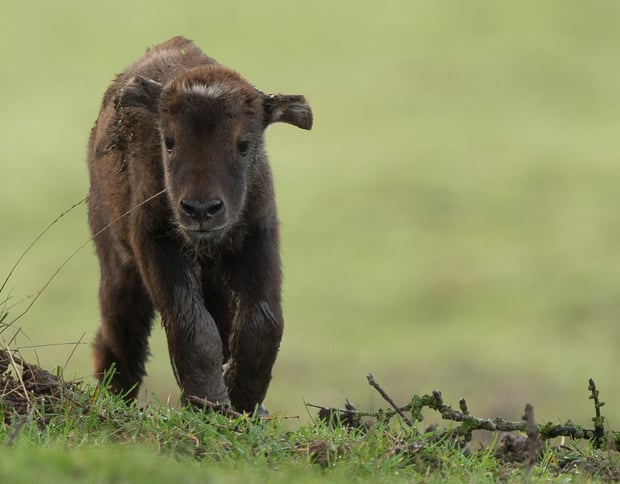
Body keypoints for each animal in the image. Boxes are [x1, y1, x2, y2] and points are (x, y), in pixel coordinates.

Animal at [87, 36, 312, 412]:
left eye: (244, 144)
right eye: (169, 141)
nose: (201, 211)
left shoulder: (257, 236)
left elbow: (262, 322)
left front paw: (244, 398)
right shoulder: (158, 242)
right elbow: (192, 327)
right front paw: (210, 402)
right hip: (118, 263)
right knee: (120, 334)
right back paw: (116, 394)